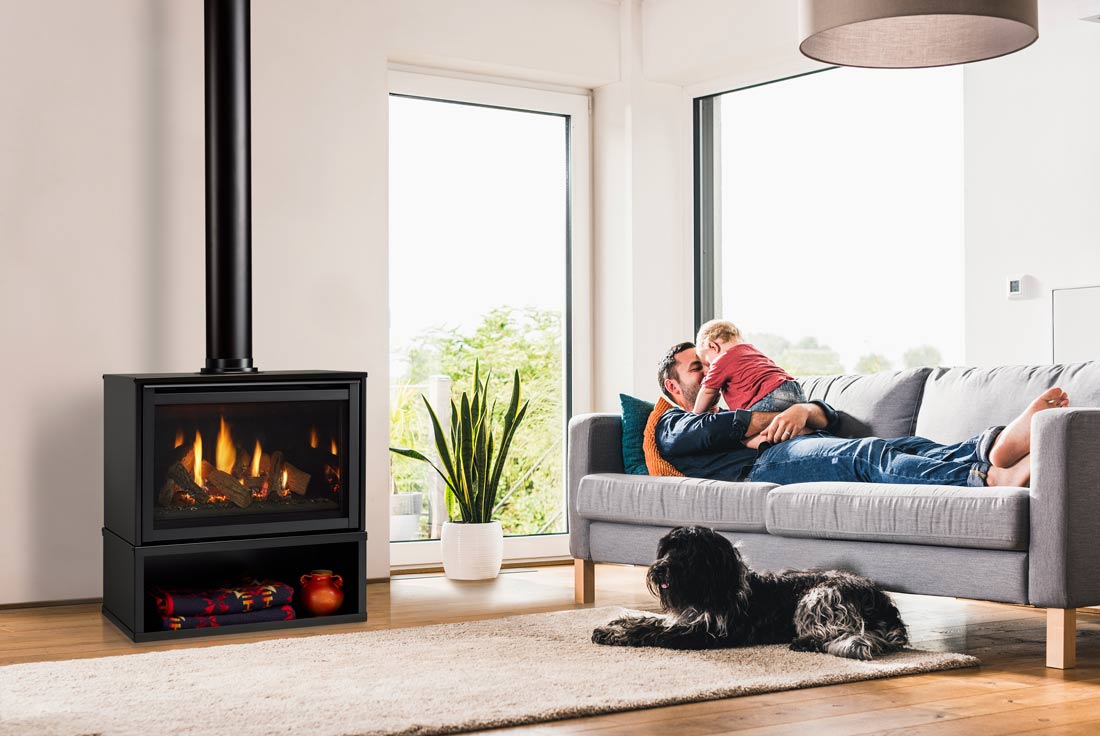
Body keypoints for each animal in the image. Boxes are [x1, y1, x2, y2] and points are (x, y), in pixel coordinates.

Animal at [594, 525, 910, 655]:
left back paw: (806, 642)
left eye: (687, 553)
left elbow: (652, 631)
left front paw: (619, 633)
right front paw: (614, 624)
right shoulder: (685, 619)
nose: (659, 569)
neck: (709, 590)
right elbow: (647, 620)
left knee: (842, 632)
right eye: (667, 548)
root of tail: (883, 603)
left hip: (820, 595)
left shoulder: (705, 634)